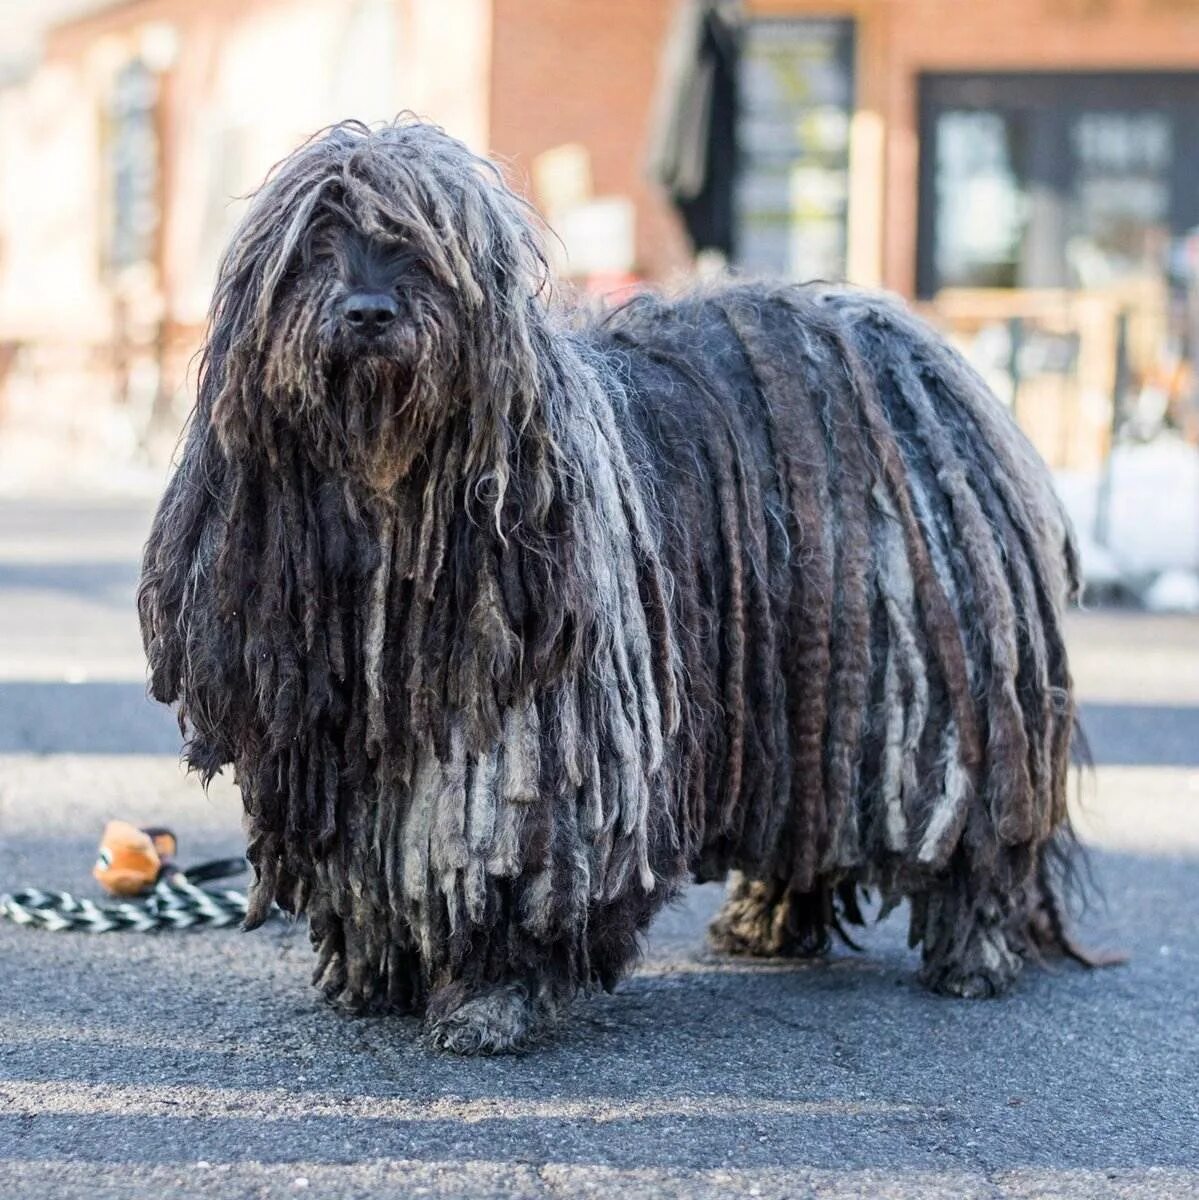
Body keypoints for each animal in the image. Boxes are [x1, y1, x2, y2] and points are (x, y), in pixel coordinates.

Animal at [138, 114, 1089, 1051]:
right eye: (313, 247)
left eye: (425, 248)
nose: (369, 309)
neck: (391, 516)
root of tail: (920, 350)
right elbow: (375, 862)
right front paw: (377, 974)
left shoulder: (532, 739)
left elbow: (510, 864)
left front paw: (489, 995)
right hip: (807, 694)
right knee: (811, 813)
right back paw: (767, 923)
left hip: (929, 681)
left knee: (969, 828)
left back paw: (972, 951)